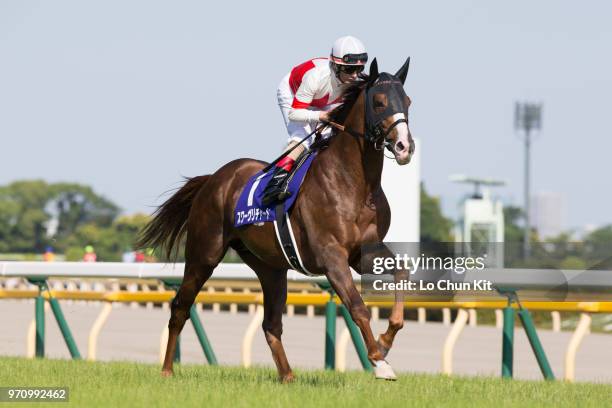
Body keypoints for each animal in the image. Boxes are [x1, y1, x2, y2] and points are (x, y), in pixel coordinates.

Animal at [137, 58, 416, 382]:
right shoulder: (332, 256)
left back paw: (288, 375)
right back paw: (167, 369)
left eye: (407, 101)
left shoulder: (364, 252)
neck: (355, 183)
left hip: (270, 267)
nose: (404, 147)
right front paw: (379, 361)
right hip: (203, 254)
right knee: (180, 307)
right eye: (379, 101)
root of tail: (214, 179)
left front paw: (385, 342)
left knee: (271, 324)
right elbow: (358, 307)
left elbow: (401, 274)